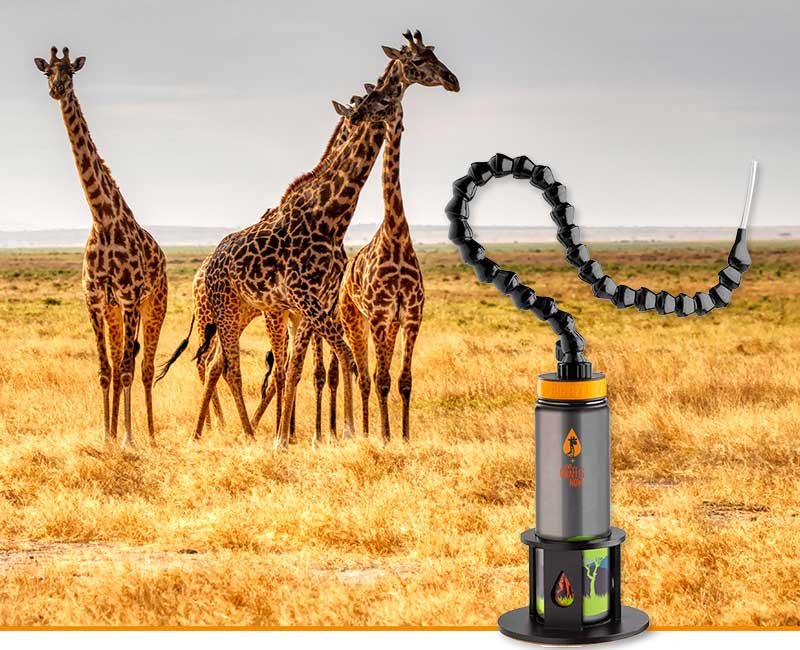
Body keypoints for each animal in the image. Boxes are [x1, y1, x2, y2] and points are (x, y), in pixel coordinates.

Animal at [34, 47, 168, 447]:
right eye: (47, 72)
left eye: (71, 73)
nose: (57, 89)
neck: (102, 219)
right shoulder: (95, 300)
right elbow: (105, 368)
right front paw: (106, 436)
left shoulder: (129, 299)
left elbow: (125, 369)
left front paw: (127, 439)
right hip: (113, 312)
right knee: (124, 361)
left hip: (154, 305)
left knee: (145, 366)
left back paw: (150, 435)